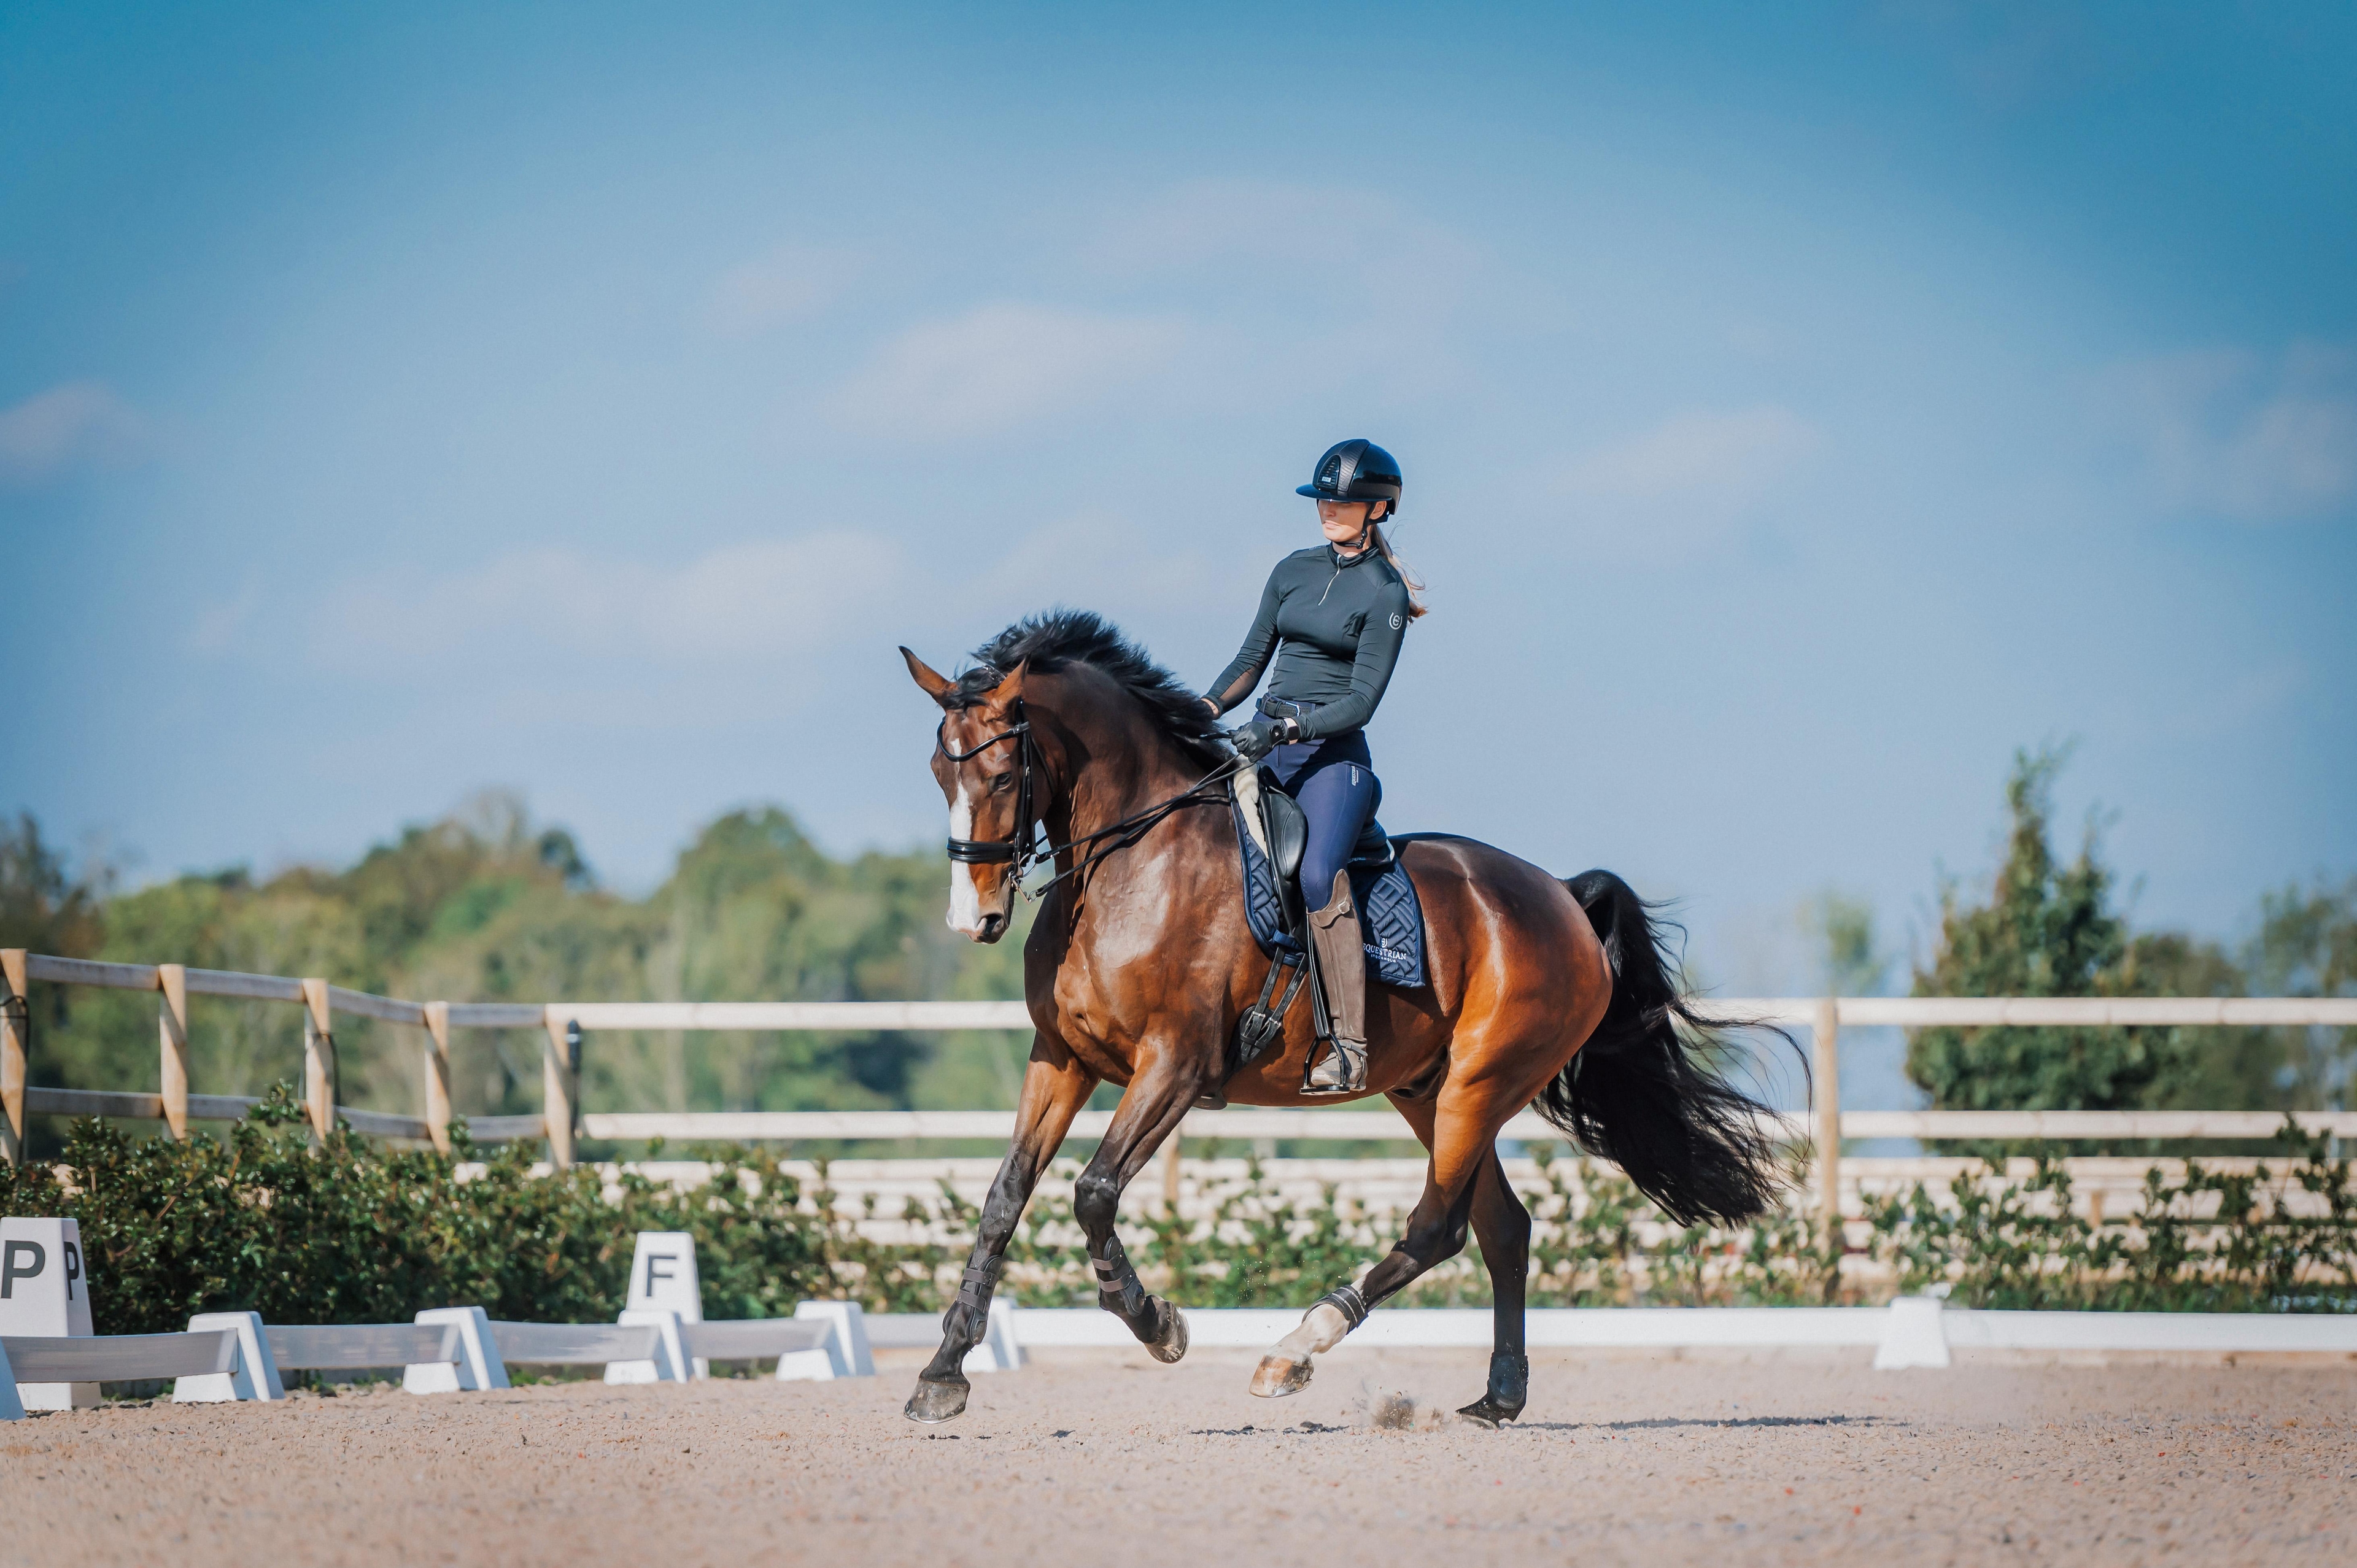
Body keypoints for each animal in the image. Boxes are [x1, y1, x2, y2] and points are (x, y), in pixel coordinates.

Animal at [900, 608, 1782, 1415]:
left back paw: (1294, 1349)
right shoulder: (1062, 1057)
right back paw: (1498, 1396)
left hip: (1480, 1085)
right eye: (940, 774)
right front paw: (942, 1372)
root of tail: (1564, 896)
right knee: (1503, 1227)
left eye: (1003, 777)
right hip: (1430, 1091)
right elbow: (1003, 1199)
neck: (1130, 864)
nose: (972, 918)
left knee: (1440, 1227)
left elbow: (1093, 1191)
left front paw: (1157, 1322)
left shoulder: (1174, 1066)